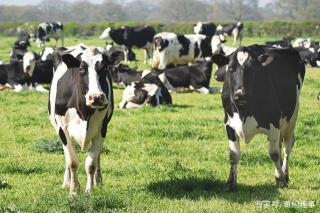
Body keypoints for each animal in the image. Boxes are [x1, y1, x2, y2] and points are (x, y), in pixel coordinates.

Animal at [48, 45, 124, 195]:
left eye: (104, 68)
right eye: (82, 69)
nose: (96, 97)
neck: (84, 113)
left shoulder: (101, 129)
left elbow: (91, 163)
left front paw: (89, 190)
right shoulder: (62, 129)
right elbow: (72, 161)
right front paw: (73, 191)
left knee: (97, 156)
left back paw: (98, 181)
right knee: (67, 158)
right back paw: (66, 182)